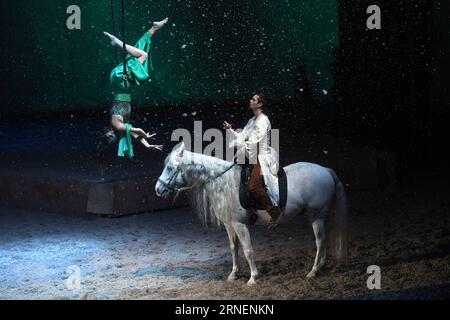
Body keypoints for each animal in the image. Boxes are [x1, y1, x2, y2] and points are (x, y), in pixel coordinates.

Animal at [155, 142, 348, 284]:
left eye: (170, 167)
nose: (158, 189)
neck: (223, 181)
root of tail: (325, 170)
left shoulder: (240, 225)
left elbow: (248, 250)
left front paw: (253, 278)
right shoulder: (229, 224)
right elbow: (234, 248)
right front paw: (234, 274)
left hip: (317, 215)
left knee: (320, 241)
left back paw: (313, 271)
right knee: (323, 240)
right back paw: (320, 266)